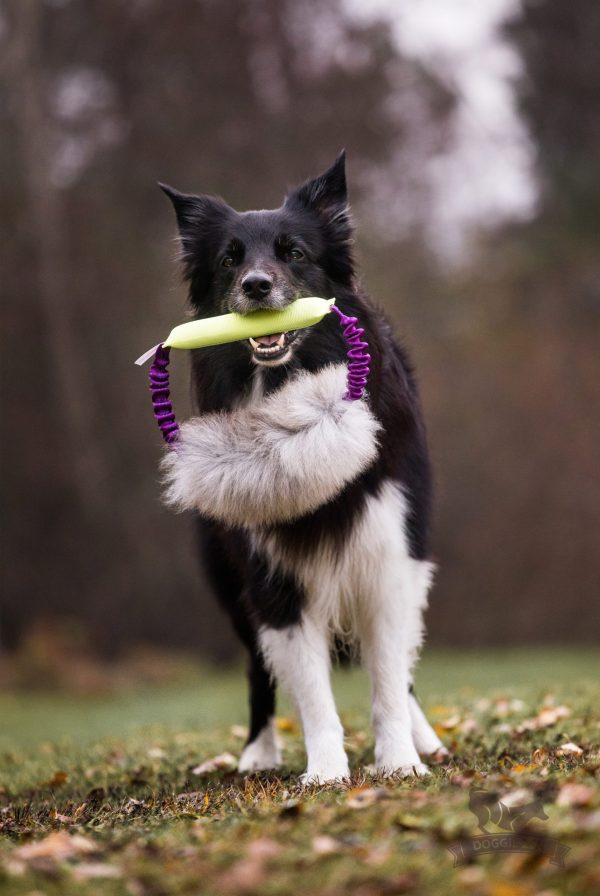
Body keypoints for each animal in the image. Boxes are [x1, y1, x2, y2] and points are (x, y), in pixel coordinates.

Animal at [159, 154, 446, 784]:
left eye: (294, 253)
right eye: (229, 260)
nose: (256, 286)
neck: (287, 390)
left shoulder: (390, 555)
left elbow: (389, 677)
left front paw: (400, 763)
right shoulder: (269, 576)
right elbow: (311, 689)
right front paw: (326, 773)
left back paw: (427, 740)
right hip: (229, 582)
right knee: (257, 669)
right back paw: (257, 753)